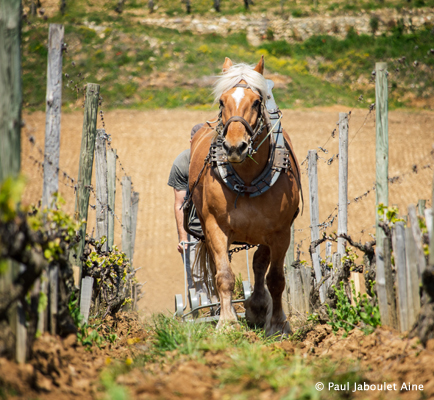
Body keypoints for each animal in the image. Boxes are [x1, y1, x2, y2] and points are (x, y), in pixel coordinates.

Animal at [190, 56, 302, 336]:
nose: (234, 147)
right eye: (222, 101)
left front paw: (278, 323)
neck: (249, 179)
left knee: (260, 264)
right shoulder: (215, 227)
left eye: (256, 102)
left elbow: (276, 278)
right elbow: (224, 275)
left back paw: (258, 307)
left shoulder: (281, 232)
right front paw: (227, 322)